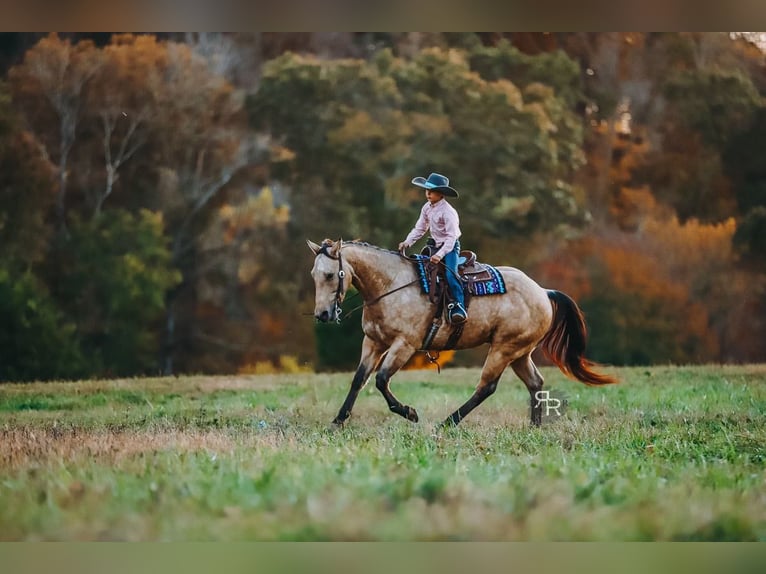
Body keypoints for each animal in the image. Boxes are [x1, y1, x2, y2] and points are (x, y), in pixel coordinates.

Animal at [307, 238, 617, 427]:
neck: (390, 285)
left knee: (487, 387)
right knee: (535, 383)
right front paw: (338, 421)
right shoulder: (373, 342)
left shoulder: (404, 345)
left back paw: (448, 422)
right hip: (520, 353)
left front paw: (410, 413)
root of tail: (542, 291)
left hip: (504, 348)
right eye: (314, 275)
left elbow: (382, 380)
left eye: (330, 275)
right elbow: (359, 379)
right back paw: (534, 427)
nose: (322, 315)